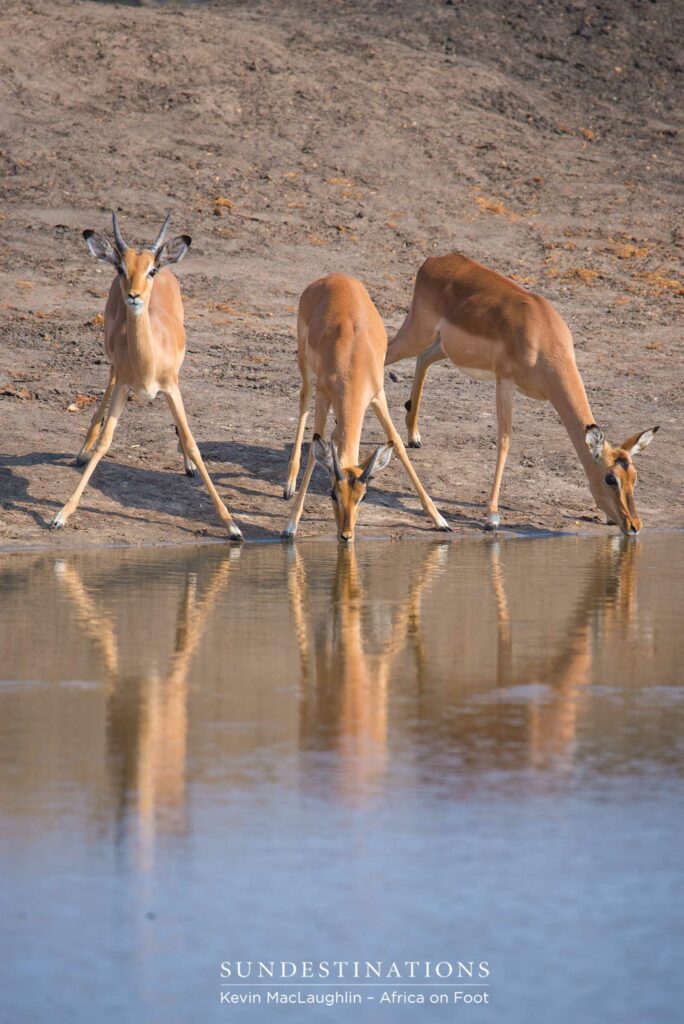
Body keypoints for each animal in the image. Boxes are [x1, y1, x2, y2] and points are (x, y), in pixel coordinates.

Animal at [49, 212, 242, 540]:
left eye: (150, 270)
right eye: (121, 268)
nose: (134, 296)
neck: (148, 362)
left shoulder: (171, 388)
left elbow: (192, 441)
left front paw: (232, 525)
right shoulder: (124, 387)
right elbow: (105, 442)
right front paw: (61, 514)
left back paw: (187, 466)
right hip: (112, 362)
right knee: (109, 382)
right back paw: (82, 451)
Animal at [283, 273, 450, 541]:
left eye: (362, 497)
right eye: (332, 494)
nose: (346, 534)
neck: (352, 358)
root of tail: (333, 277)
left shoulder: (377, 396)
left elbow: (398, 443)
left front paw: (439, 520)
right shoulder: (324, 395)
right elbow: (314, 451)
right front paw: (290, 526)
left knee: (334, 433)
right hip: (306, 369)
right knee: (303, 402)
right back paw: (288, 486)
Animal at [385, 253, 659, 534]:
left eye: (634, 477)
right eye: (610, 478)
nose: (634, 525)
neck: (542, 336)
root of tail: (435, 260)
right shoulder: (504, 383)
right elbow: (505, 440)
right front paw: (492, 516)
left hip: (442, 346)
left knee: (423, 358)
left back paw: (414, 436)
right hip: (416, 333)